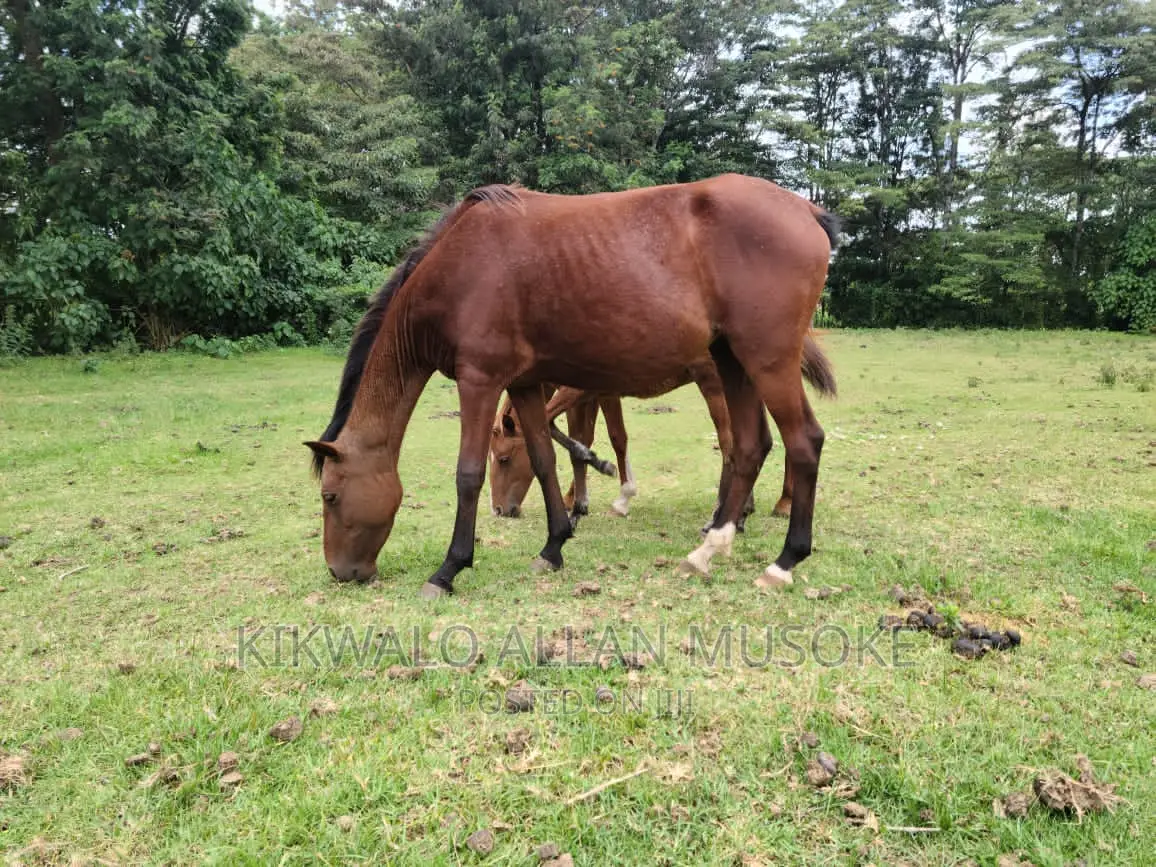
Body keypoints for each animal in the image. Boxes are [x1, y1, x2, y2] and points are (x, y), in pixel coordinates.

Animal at [489, 335, 837, 523]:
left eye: (504, 459)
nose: (499, 509)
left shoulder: (584, 391)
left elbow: (603, 437)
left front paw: (617, 491)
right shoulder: (594, 393)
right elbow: (586, 438)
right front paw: (579, 497)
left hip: (719, 386)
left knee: (735, 443)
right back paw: (768, 503)